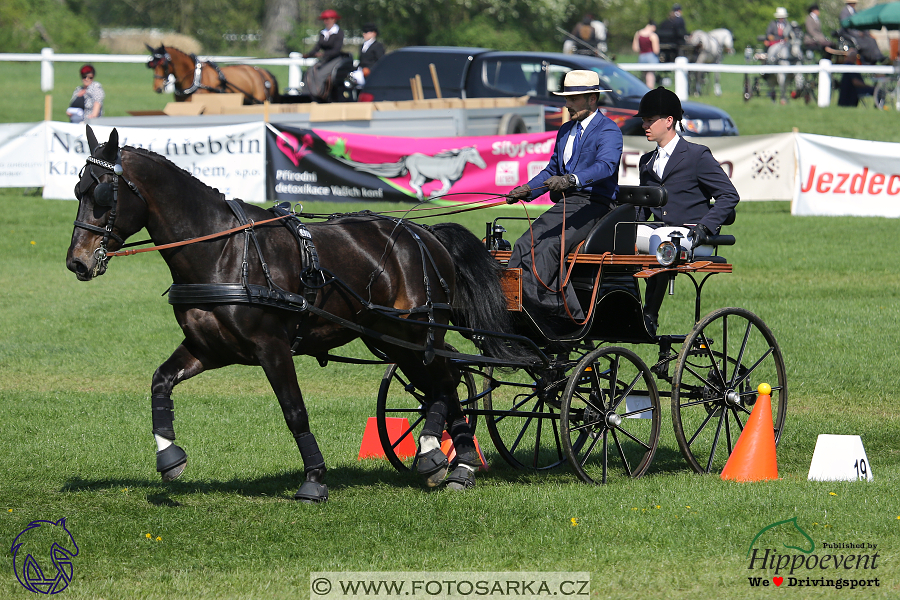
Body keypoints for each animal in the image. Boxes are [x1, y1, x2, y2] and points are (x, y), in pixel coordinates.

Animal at [65, 125, 528, 502]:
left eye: (103, 194)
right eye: (77, 189)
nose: (77, 262)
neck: (223, 251)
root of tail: (424, 232)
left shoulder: (271, 347)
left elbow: (294, 410)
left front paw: (314, 479)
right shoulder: (207, 348)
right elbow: (160, 381)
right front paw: (169, 457)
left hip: (415, 334)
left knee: (445, 384)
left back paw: (444, 456)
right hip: (389, 338)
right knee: (442, 386)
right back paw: (454, 460)